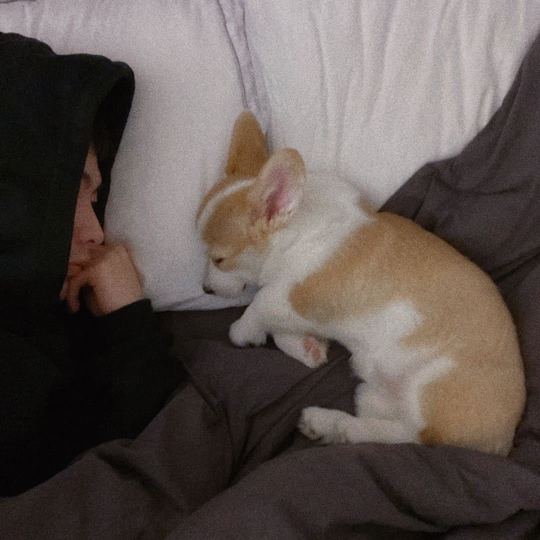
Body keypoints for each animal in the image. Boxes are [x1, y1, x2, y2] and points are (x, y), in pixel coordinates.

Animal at [197, 111, 525, 456]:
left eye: (219, 259)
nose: (205, 289)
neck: (298, 229)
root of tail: (503, 443)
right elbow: (279, 322)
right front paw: (306, 347)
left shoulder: (294, 296)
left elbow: (261, 305)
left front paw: (243, 331)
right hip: (373, 395)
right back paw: (332, 425)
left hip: (434, 384)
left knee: (414, 439)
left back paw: (329, 422)